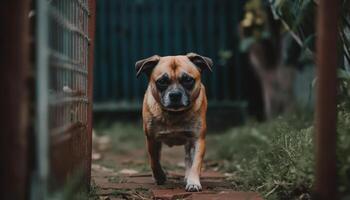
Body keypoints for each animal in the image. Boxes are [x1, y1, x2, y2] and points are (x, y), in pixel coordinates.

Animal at [135, 52, 212, 192]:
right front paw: (159, 176)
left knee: (188, 158)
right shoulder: (152, 139)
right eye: (162, 81)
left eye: (188, 80)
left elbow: (196, 162)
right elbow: (154, 160)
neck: (175, 114)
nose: (175, 95)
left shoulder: (198, 139)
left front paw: (193, 181)